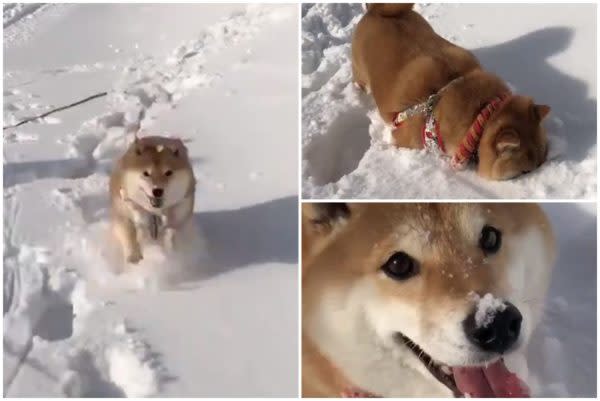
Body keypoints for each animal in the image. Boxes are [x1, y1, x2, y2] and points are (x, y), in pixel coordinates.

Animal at [110, 133, 197, 262]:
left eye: (168, 172)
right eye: (146, 173)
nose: (157, 191)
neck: (155, 212)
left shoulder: (181, 212)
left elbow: (173, 231)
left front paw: (169, 246)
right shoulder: (123, 212)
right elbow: (129, 233)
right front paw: (134, 256)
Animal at [352, 3, 552, 179]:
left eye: (542, 160)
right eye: (525, 172)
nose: (539, 171)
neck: (480, 114)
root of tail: (376, 11)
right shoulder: (404, 139)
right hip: (361, 72)